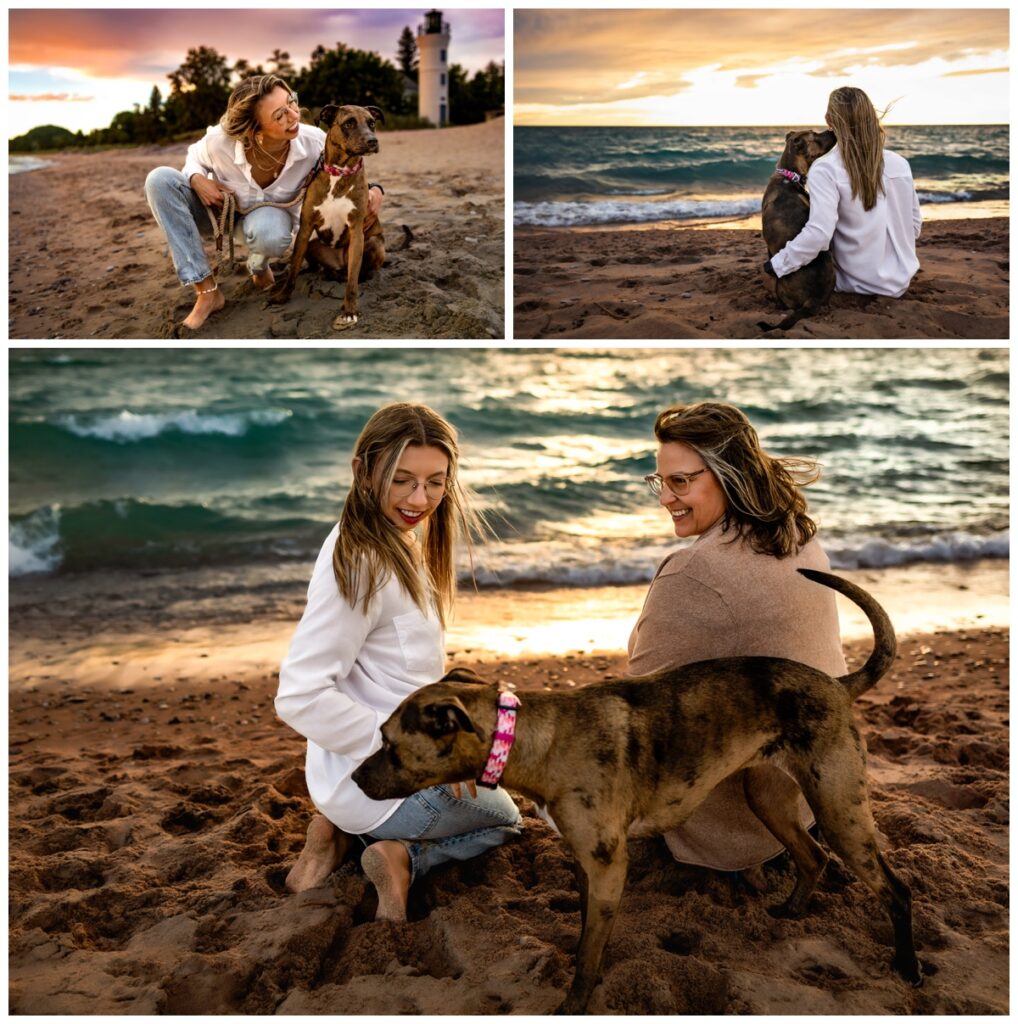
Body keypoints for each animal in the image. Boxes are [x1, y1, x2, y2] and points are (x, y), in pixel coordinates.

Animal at [266, 102, 385, 329]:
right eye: (349, 123)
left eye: (372, 122)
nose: (372, 141)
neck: (339, 172)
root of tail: (338, 263)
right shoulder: (305, 229)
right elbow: (293, 267)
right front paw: (283, 295)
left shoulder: (357, 232)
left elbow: (352, 281)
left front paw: (349, 311)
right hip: (313, 244)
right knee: (314, 264)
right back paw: (322, 272)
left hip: (373, 242)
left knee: (360, 271)